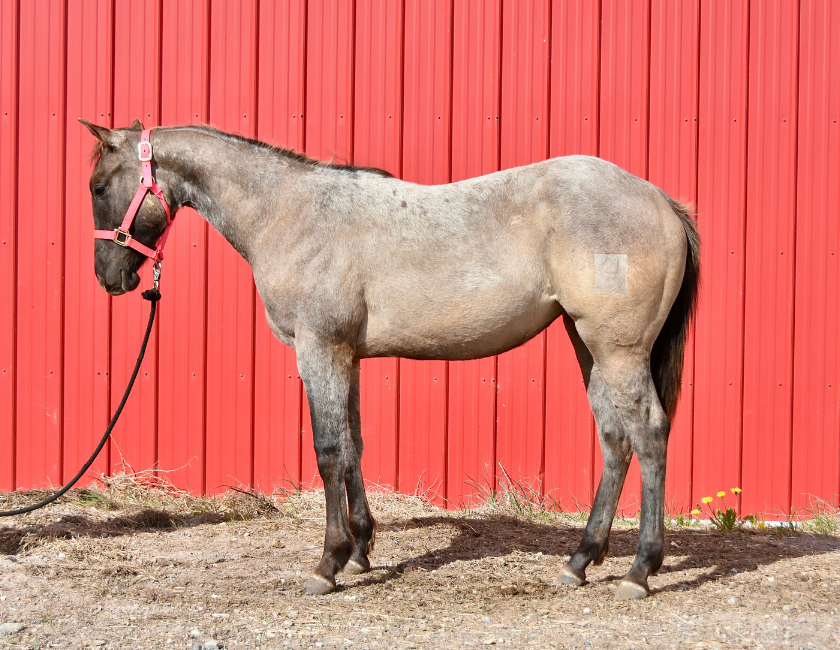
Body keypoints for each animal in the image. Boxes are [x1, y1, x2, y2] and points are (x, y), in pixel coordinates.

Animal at [80, 119, 699, 601]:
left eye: (99, 185)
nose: (109, 278)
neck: (290, 212)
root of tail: (659, 199)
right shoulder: (346, 355)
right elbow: (354, 445)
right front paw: (360, 550)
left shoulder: (320, 348)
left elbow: (328, 452)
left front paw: (328, 564)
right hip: (587, 344)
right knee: (615, 440)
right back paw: (580, 560)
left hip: (617, 348)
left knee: (649, 434)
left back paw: (639, 571)